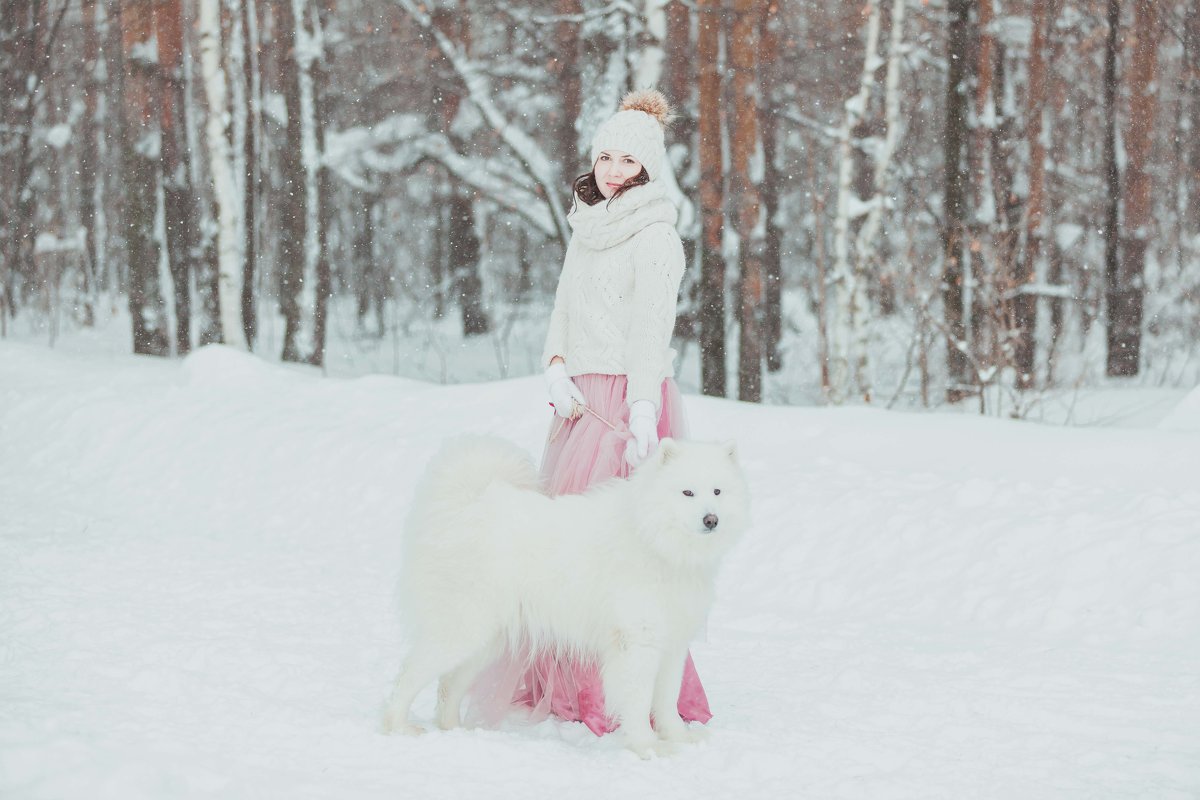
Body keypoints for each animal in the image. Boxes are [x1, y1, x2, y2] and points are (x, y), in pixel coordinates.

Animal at [379, 438, 744, 758]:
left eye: (717, 491)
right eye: (687, 492)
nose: (711, 519)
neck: (654, 541)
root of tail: (466, 503)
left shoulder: (671, 645)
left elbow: (667, 700)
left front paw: (679, 738)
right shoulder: (637, 644)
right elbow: (639, 702)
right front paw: (646, 747)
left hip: (486, 641)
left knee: (448, 685)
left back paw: (454, 729)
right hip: (461, 629)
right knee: (408, 675)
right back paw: (398, 726)